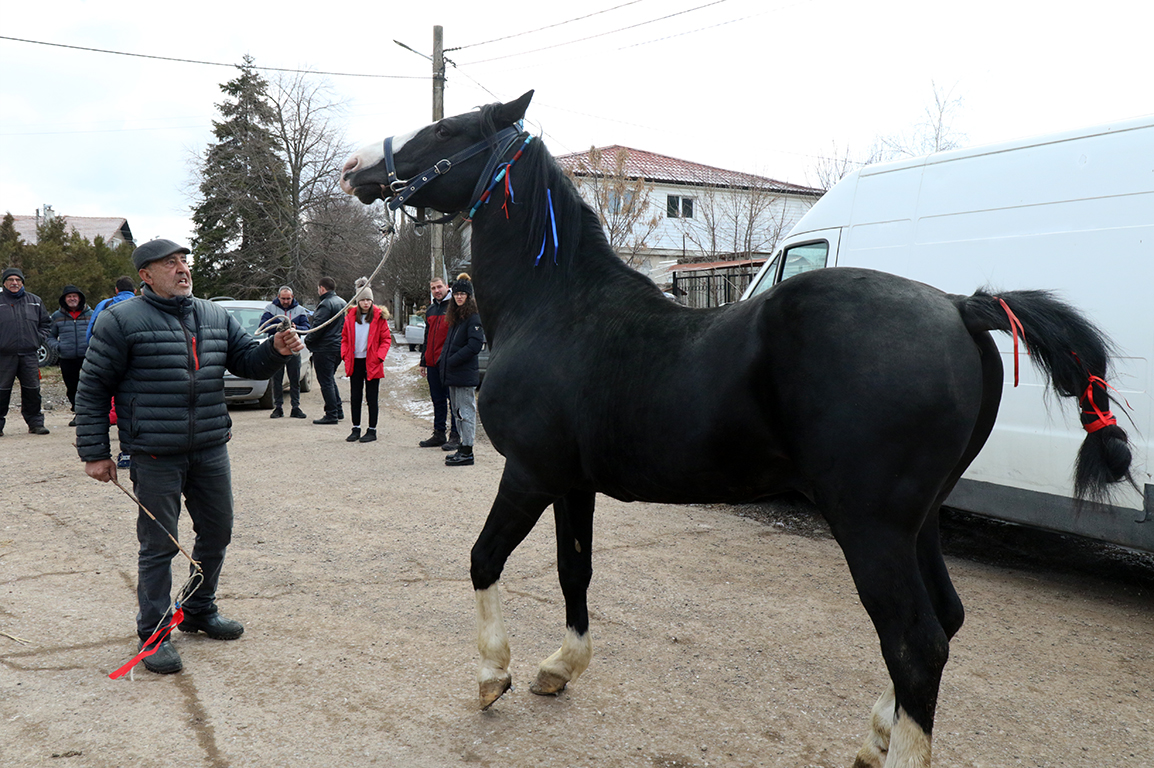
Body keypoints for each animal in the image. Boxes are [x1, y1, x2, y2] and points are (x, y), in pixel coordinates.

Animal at [336, 92, 1130, 761]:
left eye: (446, 129)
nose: (356, 168)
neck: (557, 304)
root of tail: (961, 307)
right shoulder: (574, 483)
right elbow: (574, 570)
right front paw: (560, 667)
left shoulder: (531, 472)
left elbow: (484, 557)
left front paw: (492, 674)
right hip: (921, 522)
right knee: (947, 621)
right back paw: (879, 731)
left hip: (871, 526)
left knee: (916, 642)